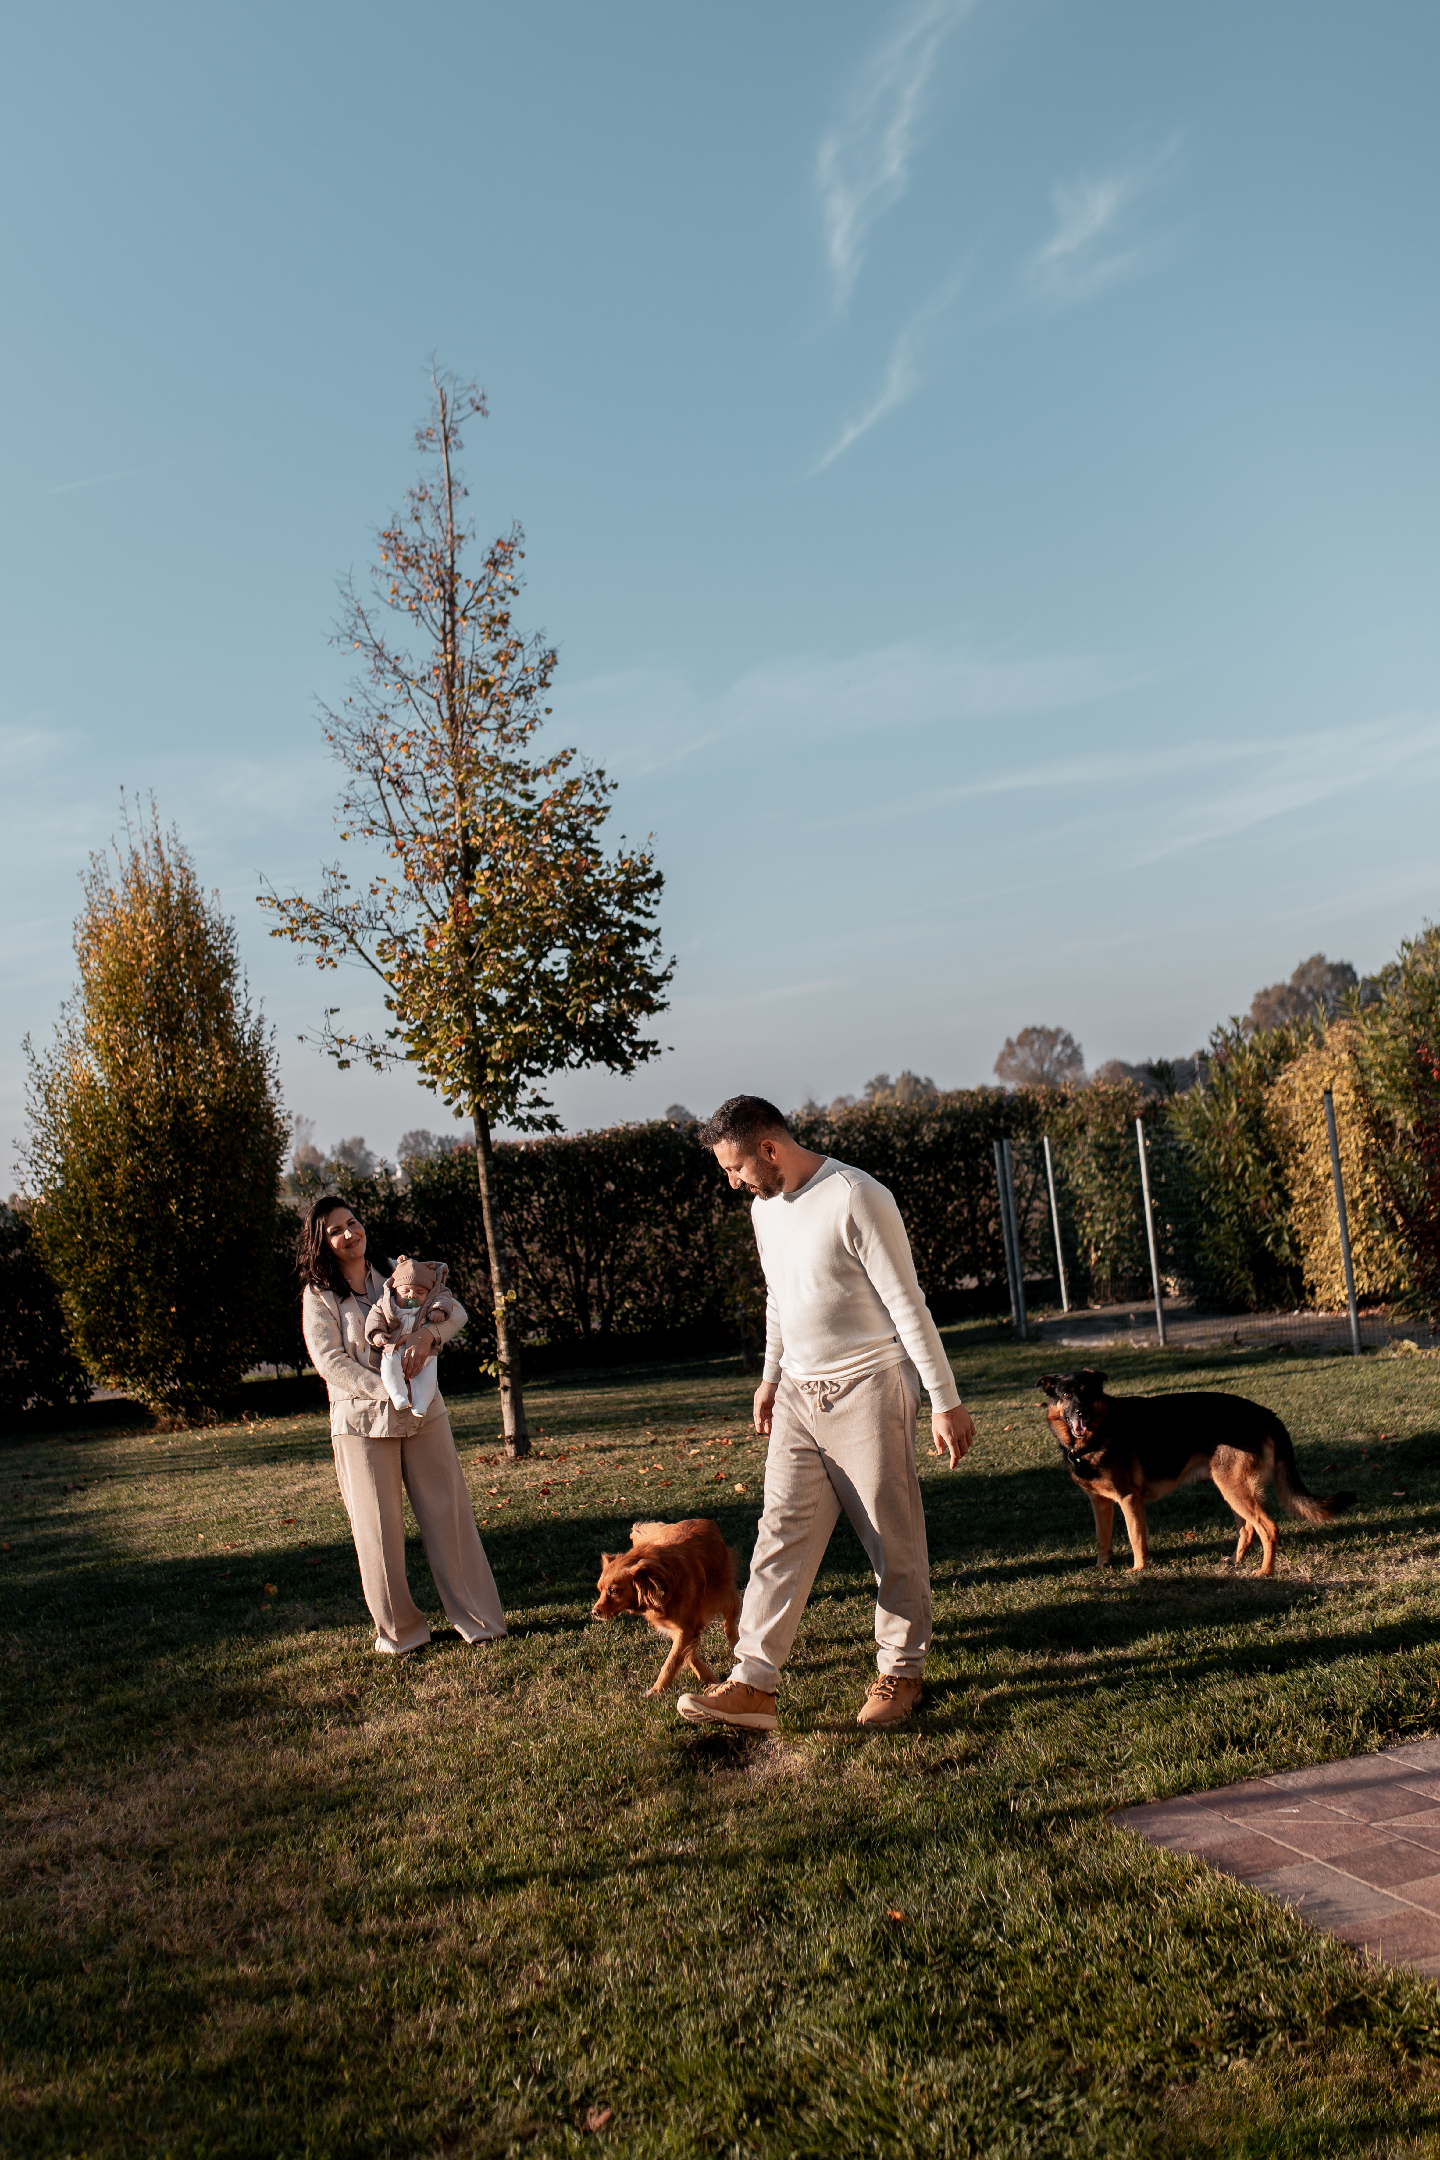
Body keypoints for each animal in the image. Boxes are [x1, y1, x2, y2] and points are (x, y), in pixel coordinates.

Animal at [591, 1518, 741, 1695]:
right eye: (599, 1590)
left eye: (614, 1591)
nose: (594, 1612)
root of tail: (704, 1520)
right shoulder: (681, 1629)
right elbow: (686, 1655)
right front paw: (709, 1678)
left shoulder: (686, 1628)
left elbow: (671, 1662)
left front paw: (656, 1691)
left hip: (728, 1598)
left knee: (730, 1628)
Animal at [1036, 1369, 1355, 1576]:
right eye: (1066, 1394)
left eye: (1089, 1394)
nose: (1081, 1414)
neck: (1098, 1433)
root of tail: (1264, 1412)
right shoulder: (1100, 1502)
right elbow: (1103, 1538)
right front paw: (1102, 1567)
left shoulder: (1128, 1499)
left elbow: (1135, 1537)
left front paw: (1139, 1570)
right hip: (1230, 1487)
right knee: (1248, 1528)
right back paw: (1237, 1562)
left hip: (1233, 1488)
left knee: (1268, 1527)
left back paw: (1265, 1571)